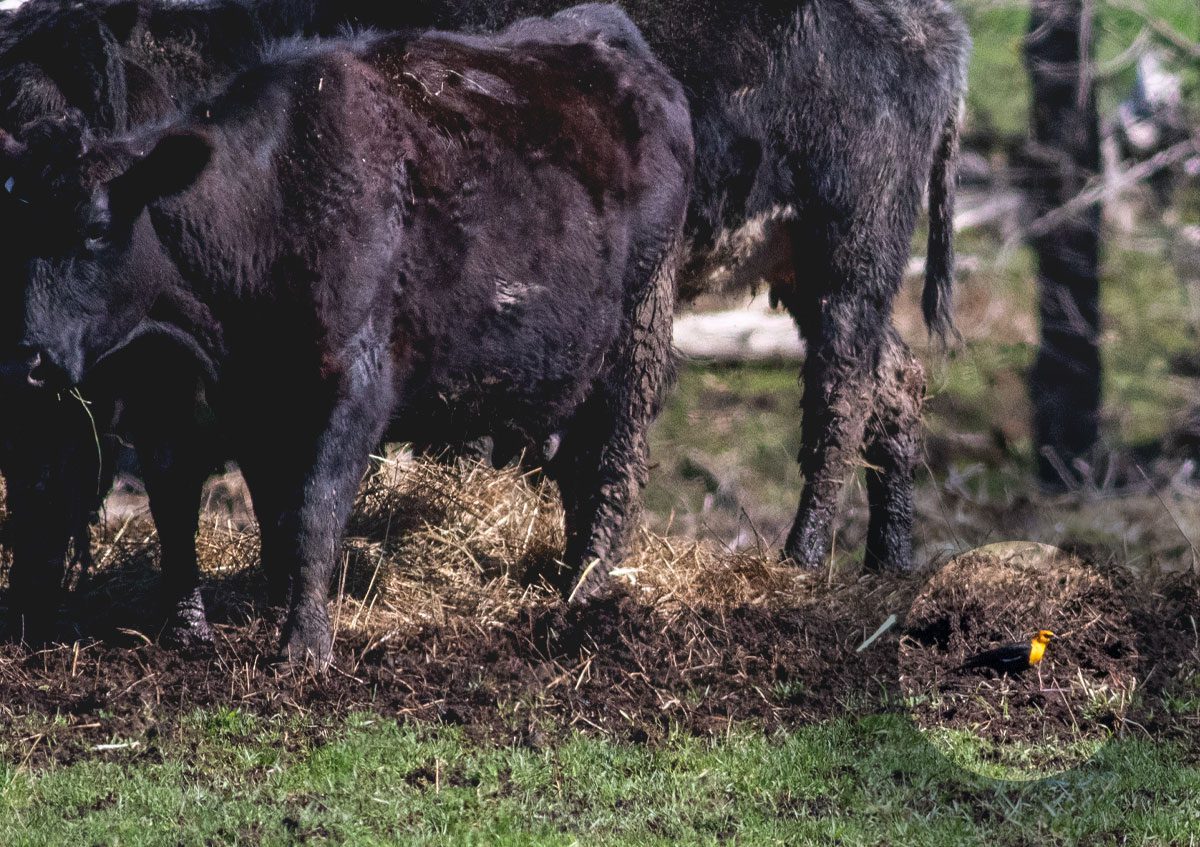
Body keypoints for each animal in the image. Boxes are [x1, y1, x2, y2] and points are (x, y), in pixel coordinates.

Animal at [2, 6, 696, 662]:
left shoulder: (352, 385)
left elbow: (316, 510)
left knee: (612, 465)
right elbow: (236, 510)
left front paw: (304, 645)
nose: (26, 359)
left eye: (95, 229)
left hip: (638, 333)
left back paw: (584, 594)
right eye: (17, 229)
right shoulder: (217, 400)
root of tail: (610, 40)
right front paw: (237, 615)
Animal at [304, 0, 969, 573]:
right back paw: (889, 563)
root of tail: (934, 28)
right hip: (807, 273)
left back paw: (802, 559)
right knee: (897, 379)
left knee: (841, 398)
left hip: (849, 262)